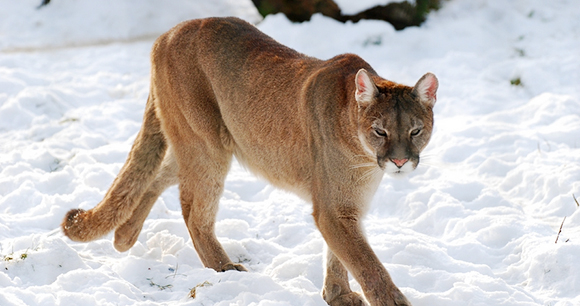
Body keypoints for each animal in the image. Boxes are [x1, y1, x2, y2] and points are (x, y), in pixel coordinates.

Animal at [61, 17, 438, 306]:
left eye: (416, 130)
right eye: (380, 131)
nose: (400, 161)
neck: (364, 154)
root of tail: (168, 33)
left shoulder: (345, 206)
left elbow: (341, 255)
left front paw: (337, 295)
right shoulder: (334, 208)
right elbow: (366, 263)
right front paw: (390, 302)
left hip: (200, 142)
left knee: (160, 175)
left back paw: (124, 236)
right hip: (207, 145)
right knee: (192, 210)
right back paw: (224, 270)